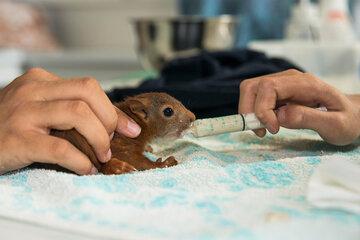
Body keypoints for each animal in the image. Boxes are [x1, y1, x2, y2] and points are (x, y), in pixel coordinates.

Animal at [50, 92, 195, 174]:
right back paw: (117, 167)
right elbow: (134, 159)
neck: (138, 122)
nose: (193, 117)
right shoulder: (120, 142)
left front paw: (149, 148)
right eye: (168, 111)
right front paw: (163, 163)